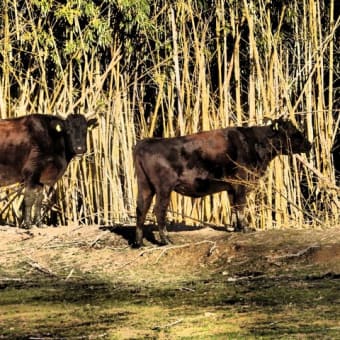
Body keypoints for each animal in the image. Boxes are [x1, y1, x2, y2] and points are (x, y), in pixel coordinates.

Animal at [133, 118, 310, 246]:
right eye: (293, 132)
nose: (309, 144)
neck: (254, 143)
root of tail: (145, 142)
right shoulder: (240, 183)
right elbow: (240, 206)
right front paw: (246, 228)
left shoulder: (231, 187)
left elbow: (234, 208)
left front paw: (238, 228)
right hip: (164, 188)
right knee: (159, 210)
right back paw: (166, 240)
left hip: (145, 186)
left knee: (141, 208)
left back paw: (139, 242)